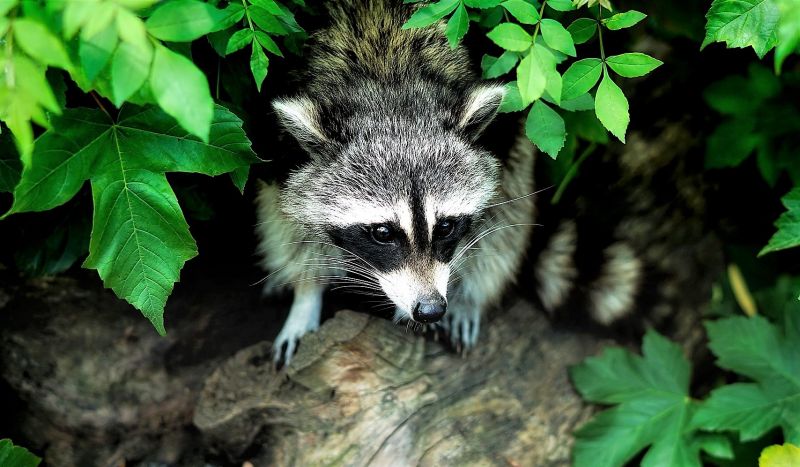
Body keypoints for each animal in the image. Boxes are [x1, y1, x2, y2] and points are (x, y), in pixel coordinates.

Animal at [253, 0, 536, 366]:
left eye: (445, 227)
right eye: (383, 233)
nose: (430, 309)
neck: (389, 76)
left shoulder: (503, 134)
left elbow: (499, 213)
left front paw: (465, 294)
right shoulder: (281, 148)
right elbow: (289, 220)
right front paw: (306, 295)